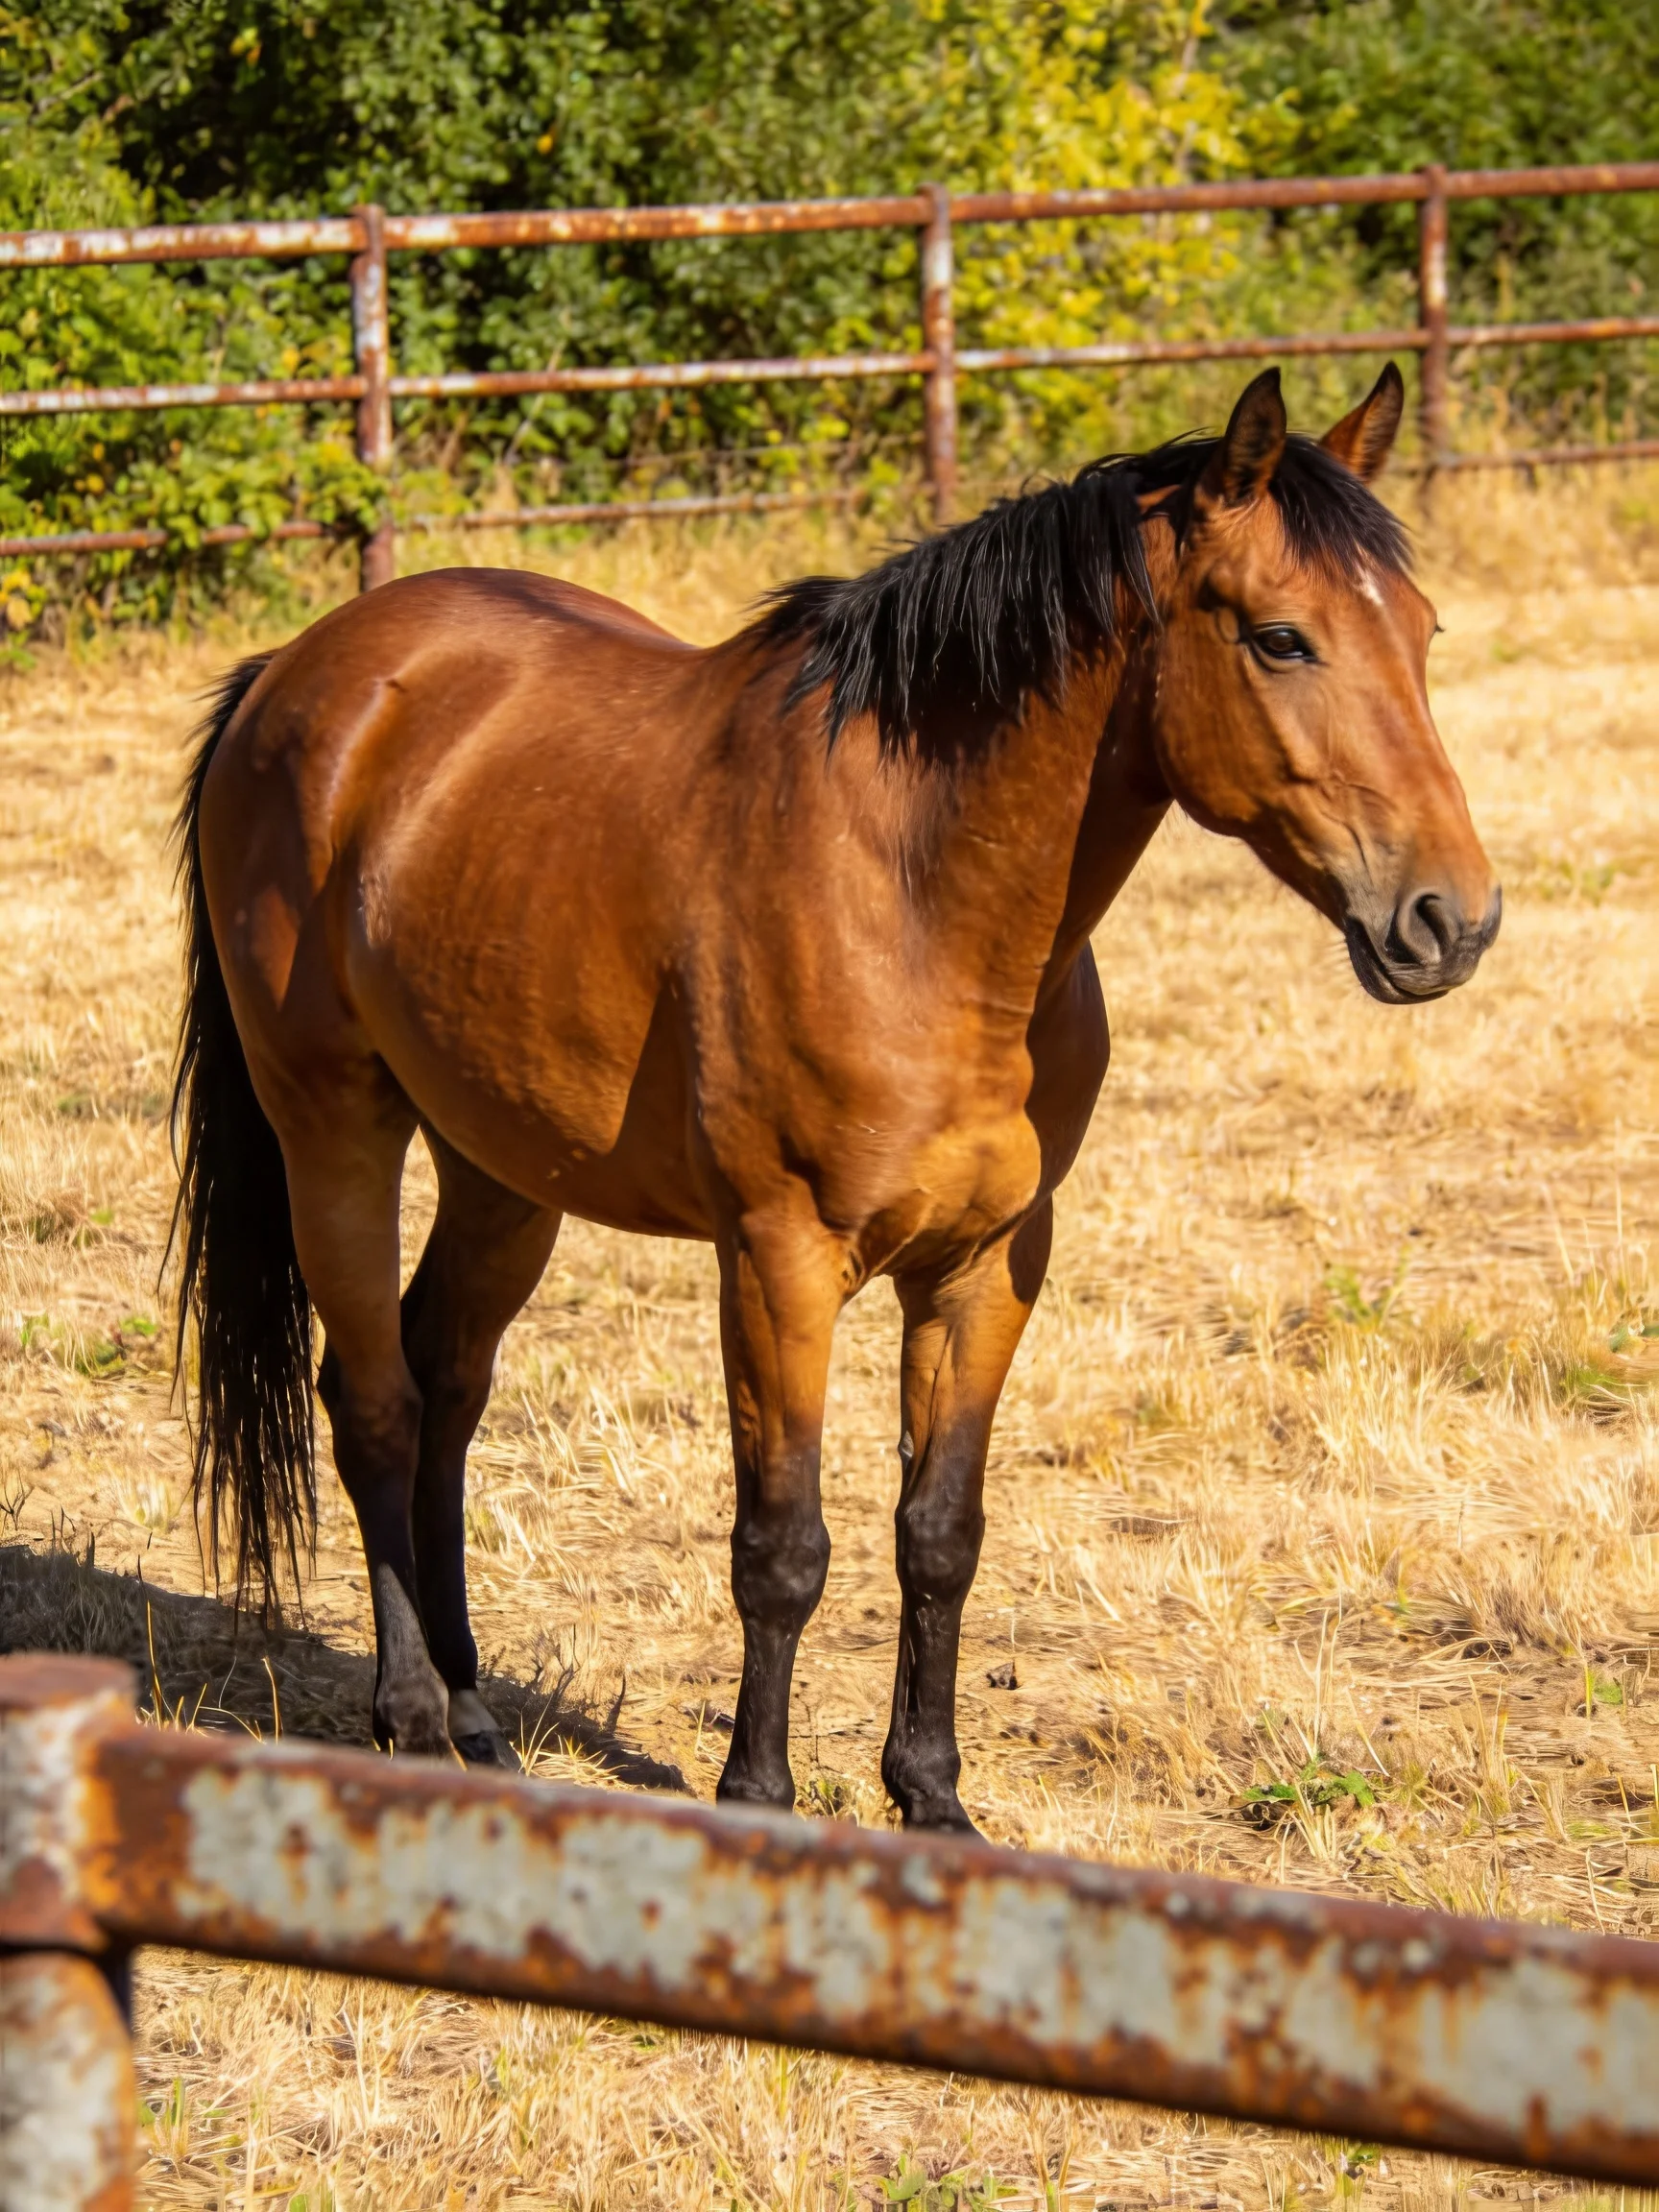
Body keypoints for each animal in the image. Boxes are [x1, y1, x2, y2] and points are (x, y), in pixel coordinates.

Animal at [172, 363, 1498, 1831]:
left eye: (1423, 631)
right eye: (1279, 638)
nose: (1449, 919)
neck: (919, 899)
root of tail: (302, 674)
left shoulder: (988, 1265)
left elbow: (939, 1533)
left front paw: (931, 1798)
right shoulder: (778, 1261)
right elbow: (782, 1545)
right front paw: (759, 1796)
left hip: (503, 1170)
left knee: (447, 1386)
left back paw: (475, 1721)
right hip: (334, 1130)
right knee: (376, 1405)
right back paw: (407, 1724)